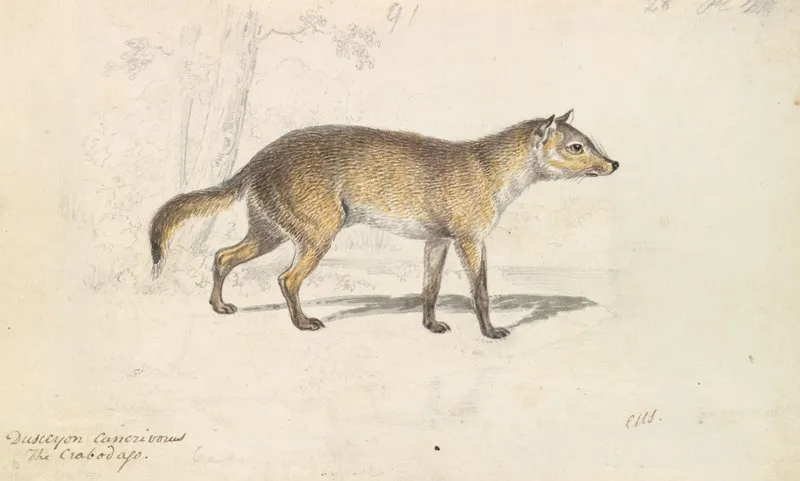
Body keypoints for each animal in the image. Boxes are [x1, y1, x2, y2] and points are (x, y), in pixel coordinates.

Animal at [149, 110, 618, 339]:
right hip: (315, 233)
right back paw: (303, 324)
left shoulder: (437, 241)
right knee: (286, 279)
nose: (613, 163)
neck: (489, 169)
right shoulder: (470, 239)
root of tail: (255, 161)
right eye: (577, 146)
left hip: (269, 229)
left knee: (222, 255)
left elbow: (430, 288)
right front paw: (491, 331)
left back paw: (220, 306)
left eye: (589, 141)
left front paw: (432, 326)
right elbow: (481, 292)